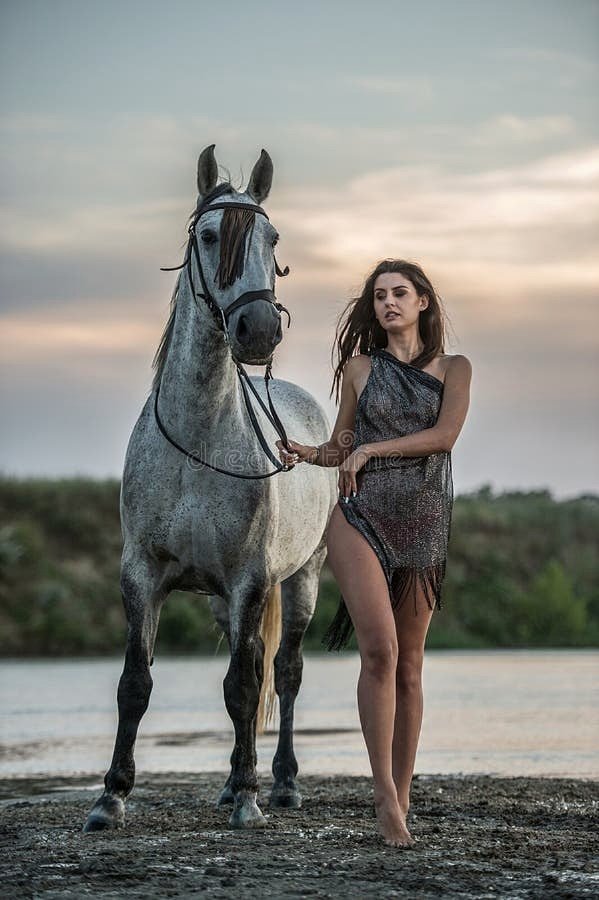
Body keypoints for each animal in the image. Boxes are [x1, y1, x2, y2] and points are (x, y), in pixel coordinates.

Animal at [83, 145, 337, 832]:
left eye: (272, 239)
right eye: (208, 235)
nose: (258, 329)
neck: (198, 442)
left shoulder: (252, 580)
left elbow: (246, 687)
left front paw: (249, 798)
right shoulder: (142, 575)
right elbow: (134, 684)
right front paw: (110, 798)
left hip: (302, 579)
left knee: (284, 671)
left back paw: (278, 783)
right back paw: (229, 783)